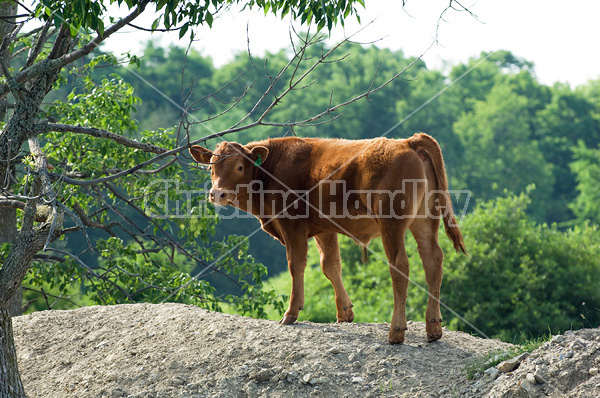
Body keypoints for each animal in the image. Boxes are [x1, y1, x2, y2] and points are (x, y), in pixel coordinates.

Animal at [190, 134, 466, 346]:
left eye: (239, 167)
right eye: (211, 167)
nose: (217, 193)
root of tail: (408, 142)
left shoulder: (292, 225)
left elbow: (296, 265)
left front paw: (291, 313)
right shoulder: (324, 230)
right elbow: (330, 266)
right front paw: (344, 312)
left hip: (392, 223)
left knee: (400, 267)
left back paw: (396, 331)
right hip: (425, 220)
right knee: (433, 261)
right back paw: (433, 327)